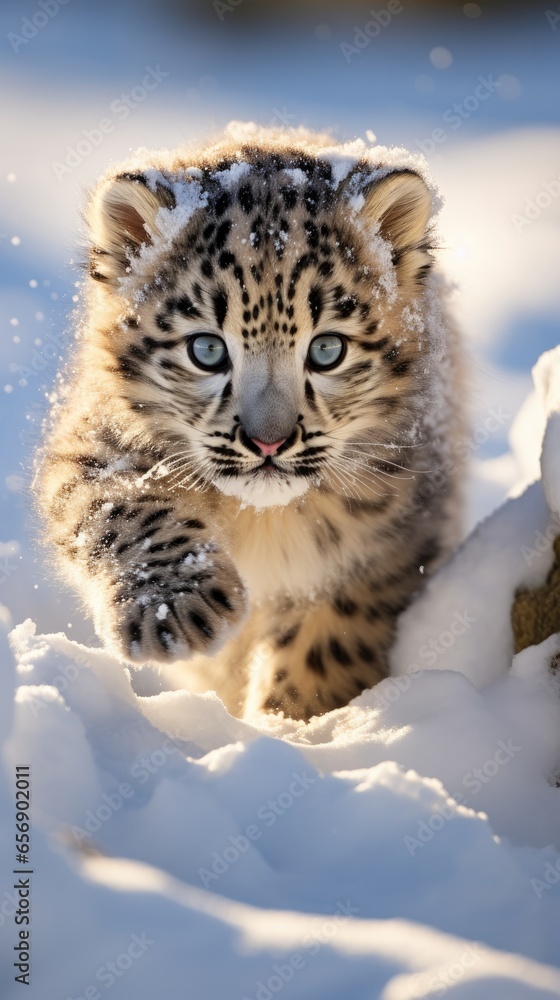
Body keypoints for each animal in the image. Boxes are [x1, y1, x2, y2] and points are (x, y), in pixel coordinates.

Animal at [35, 123, 467, 723]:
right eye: (207, 350)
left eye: (328, 349)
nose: (269, 442)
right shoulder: (101, 444)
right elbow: (119, 507)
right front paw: (174, 608)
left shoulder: (387, 542)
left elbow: (329, 634)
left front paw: (294, 723)